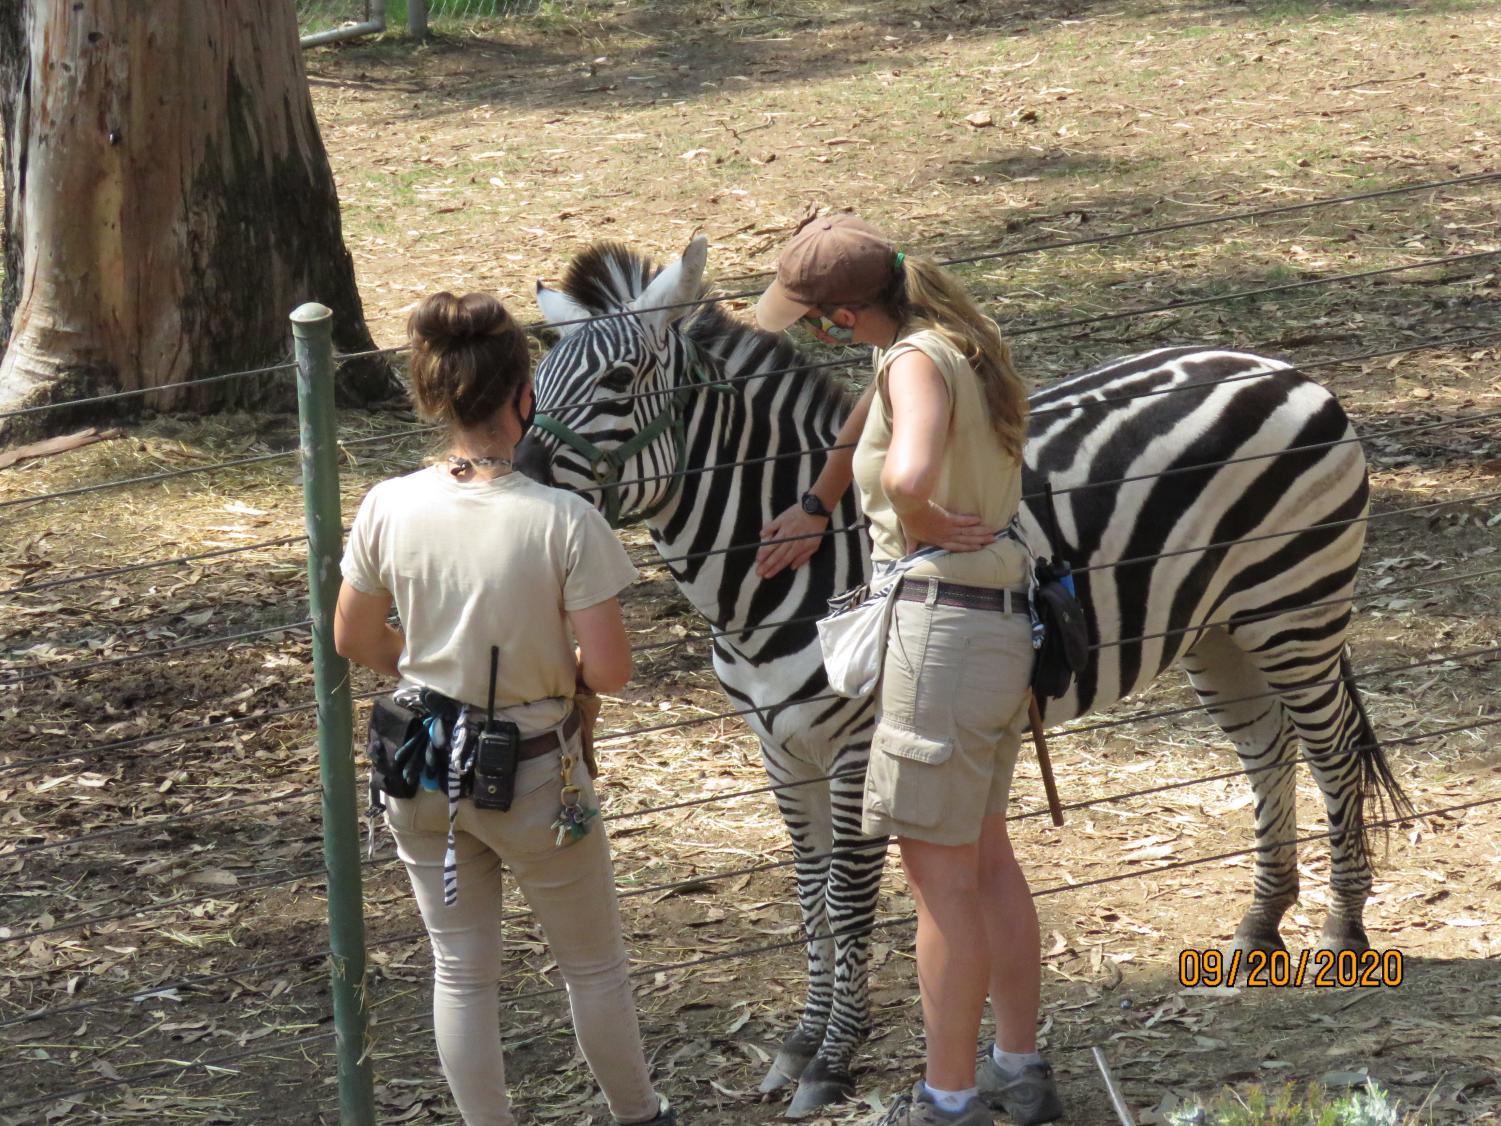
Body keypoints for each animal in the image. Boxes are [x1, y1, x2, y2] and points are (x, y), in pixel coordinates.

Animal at [516, 238, 1404, 1122]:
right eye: (538, 382)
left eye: (618, 381)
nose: (513, 482)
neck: (779, 565)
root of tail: (1281, 367)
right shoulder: (779, 748)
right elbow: (806, 892)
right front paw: (800, 1041)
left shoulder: (857, 745)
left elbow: (845, 895)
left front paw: (833, 1059)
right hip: (1217, 630)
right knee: (1267, 752)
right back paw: (1260, 924)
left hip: (1294, 608)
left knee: (1329, 754)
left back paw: (1341, 931)